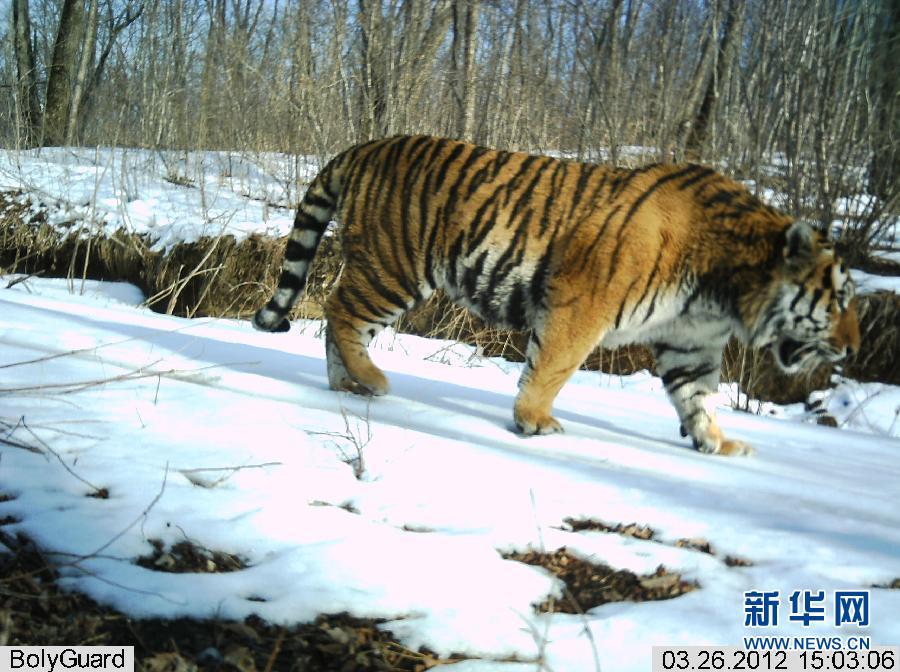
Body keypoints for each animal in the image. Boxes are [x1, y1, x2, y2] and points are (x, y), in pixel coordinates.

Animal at [251, 136, 856, 456]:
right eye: (841, 301)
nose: (851, 349)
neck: (726, 290)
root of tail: (368, 144)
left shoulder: (689, 341)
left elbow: (698, 397)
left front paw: (719, 443)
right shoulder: (582, 302)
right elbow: (554, 365)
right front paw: (535, 419)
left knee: (338, 317)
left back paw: (347, 385)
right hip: (395, 267)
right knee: (339, 310)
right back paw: (369, 380)